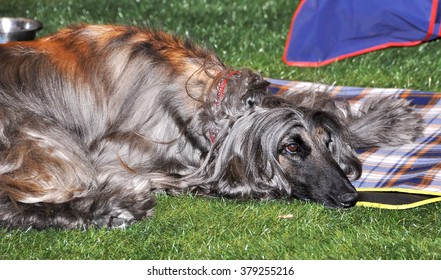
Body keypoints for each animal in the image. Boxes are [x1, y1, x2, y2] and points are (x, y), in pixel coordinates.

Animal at [0, 25, 422, 229]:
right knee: (16, 204)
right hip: (39, 134)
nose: (350, 197)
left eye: (326, 143)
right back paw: (116, 207)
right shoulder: (116, 155)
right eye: (291, 148)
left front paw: (389, 121)